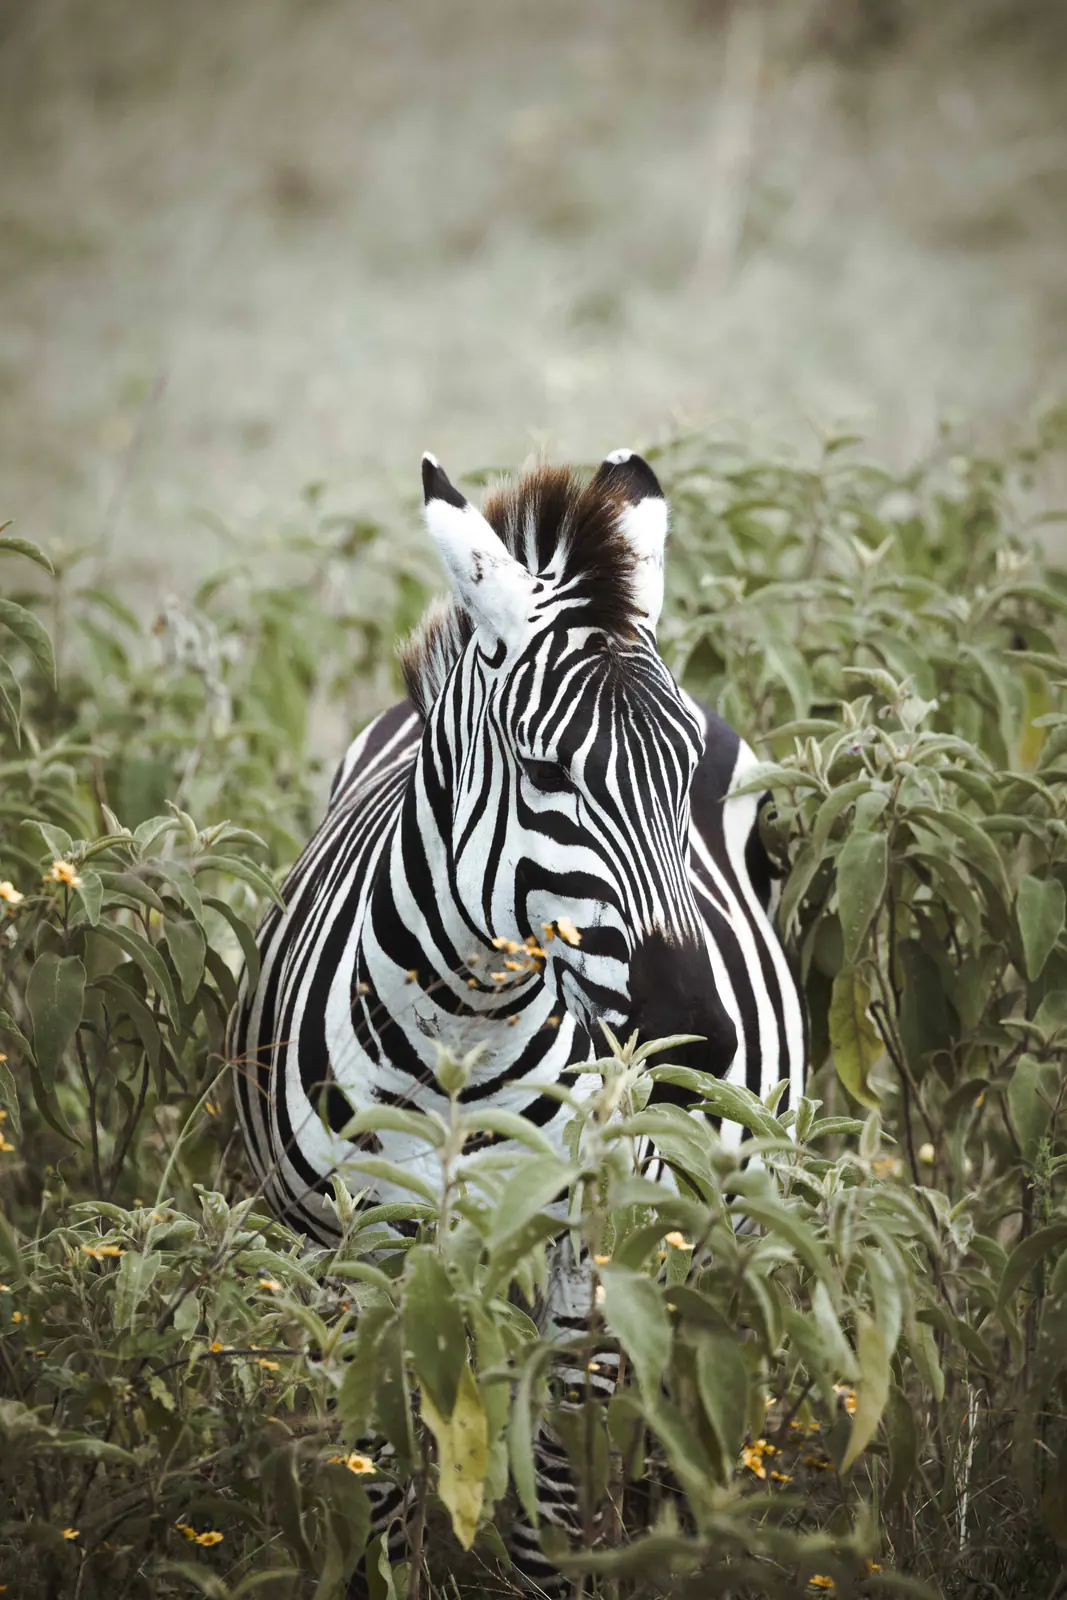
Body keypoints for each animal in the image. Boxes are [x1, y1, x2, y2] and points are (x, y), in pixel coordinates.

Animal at [230, 448, 806, 1592]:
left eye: (684, 777)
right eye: (545, 772)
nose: (698, 1041)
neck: (465, 1019)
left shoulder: (579, 1256)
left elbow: (554, 1493)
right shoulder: (352, 1258)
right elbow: (379, 1481)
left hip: (711, 1217)